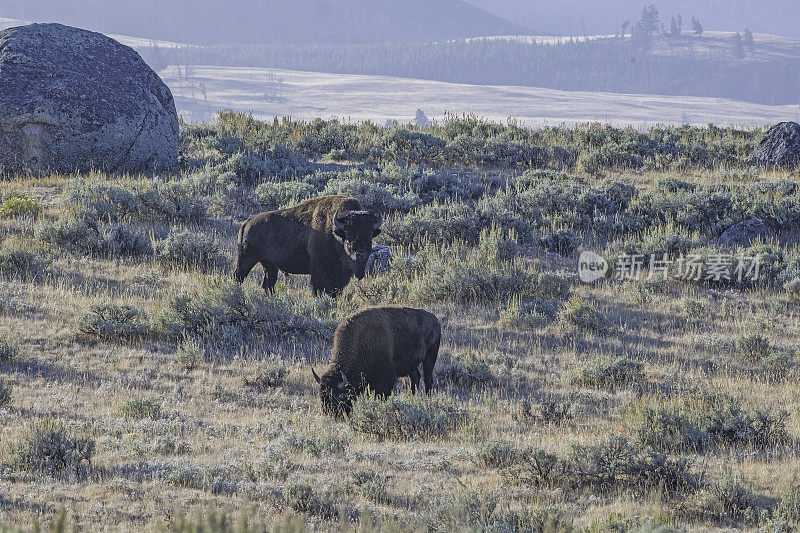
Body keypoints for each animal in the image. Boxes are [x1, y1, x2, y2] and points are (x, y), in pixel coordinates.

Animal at [234, 195, 382, 298]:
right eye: (348, 233)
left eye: (370, 233)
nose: (361, 253)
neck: (334, 233)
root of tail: (246, 223)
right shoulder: (319, 271)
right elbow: (320, 290)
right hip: (246, 260)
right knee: (238, 278)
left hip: (269, 265)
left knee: (268, 285)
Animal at [310, 308, 440, 416]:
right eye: (321, 396)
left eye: (339, 396)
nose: (330, 414)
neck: (360, 343)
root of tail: (435, 320)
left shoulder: (385, 381)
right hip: (411, 365)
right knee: (415, 378)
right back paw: (411, 398)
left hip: (430, 356)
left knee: (427, 379)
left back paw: (427, 399)